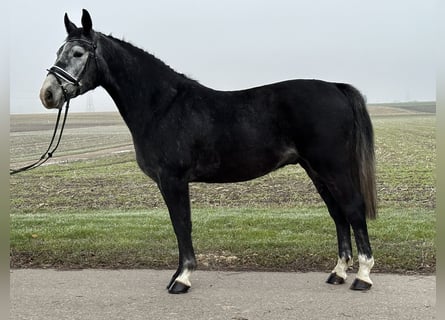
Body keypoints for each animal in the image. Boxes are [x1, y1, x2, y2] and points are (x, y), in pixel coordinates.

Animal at [40, 9, 376, 296]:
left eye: (78, 53)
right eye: (58, 52)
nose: (48, 94)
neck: (162, 106)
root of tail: (334, 87)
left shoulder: (173, 180)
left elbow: (181, 225)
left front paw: (183, 279)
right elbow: (180, 226)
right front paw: (177, 276)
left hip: (333, 167)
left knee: (353, 209)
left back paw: (362, 276)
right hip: (315, 169)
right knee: (338, 214)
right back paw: (337, 273)